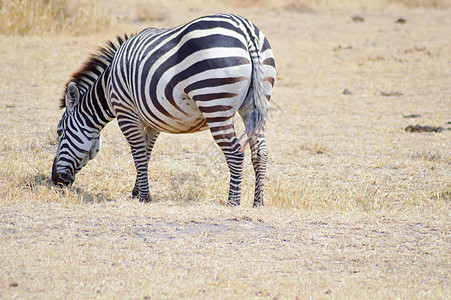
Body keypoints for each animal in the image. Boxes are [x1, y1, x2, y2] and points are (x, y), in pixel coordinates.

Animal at [51, 13, 278, 206]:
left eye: (60, 133)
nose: (55, 180)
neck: (108, 86)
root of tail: (245, 30)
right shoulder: (152, 120)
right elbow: (146, 153)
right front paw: (137, 192)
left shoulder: (126, 114)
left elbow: (138, 153)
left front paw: (144, 197)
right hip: (255, 103)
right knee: (260, 151)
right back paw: (258, 202)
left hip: (215, 104)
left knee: (235, 152)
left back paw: (233, 202)